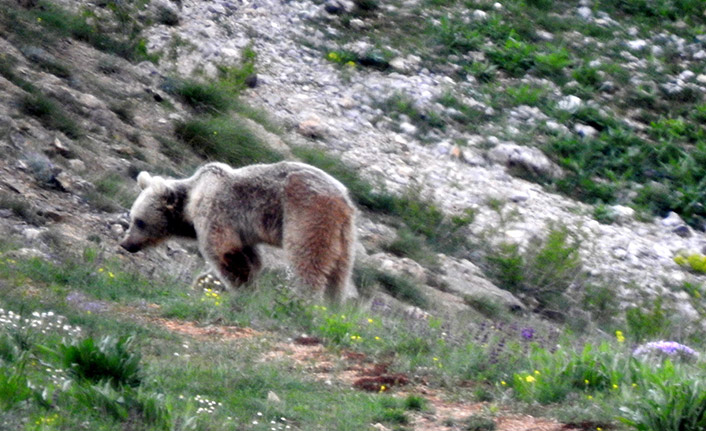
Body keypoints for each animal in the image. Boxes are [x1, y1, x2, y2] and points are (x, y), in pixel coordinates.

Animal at [119, 161, 358, 304]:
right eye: (132, 218)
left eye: (139, 221)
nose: (126, 244)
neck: (189, 203)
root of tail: (342, 198)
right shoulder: (243, 232)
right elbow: (249, 258)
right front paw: (204, 282)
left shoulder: (216, 210)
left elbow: (222, 250)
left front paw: (244, 291)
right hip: (344, 233)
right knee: (339, 271)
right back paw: (332, 305)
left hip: (307, 216)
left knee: (309, 259)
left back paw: (304, 301)